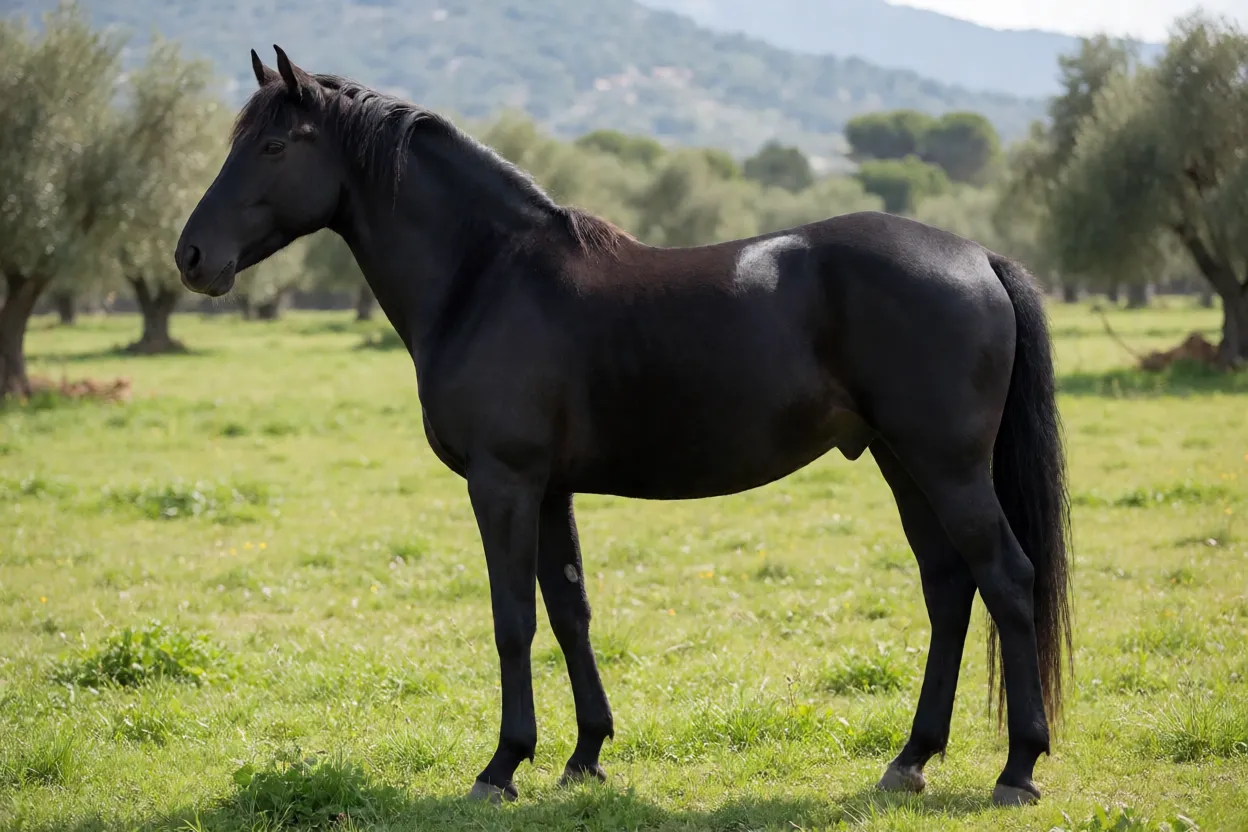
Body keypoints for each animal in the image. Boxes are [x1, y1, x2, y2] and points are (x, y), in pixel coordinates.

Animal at [175, 46, 1073, 808]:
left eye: (275, 145)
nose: (190, 257)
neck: (488, 276)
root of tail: (979, 257)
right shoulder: (548, 491)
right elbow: (569, 612)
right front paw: (585, 757)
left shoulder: (503, 483)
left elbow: (512, 619)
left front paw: (501, 766)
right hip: (901, 460)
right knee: (949, 587)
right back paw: (909, 760)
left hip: (947, 465)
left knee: (1006, 579)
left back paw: (1018, 768)